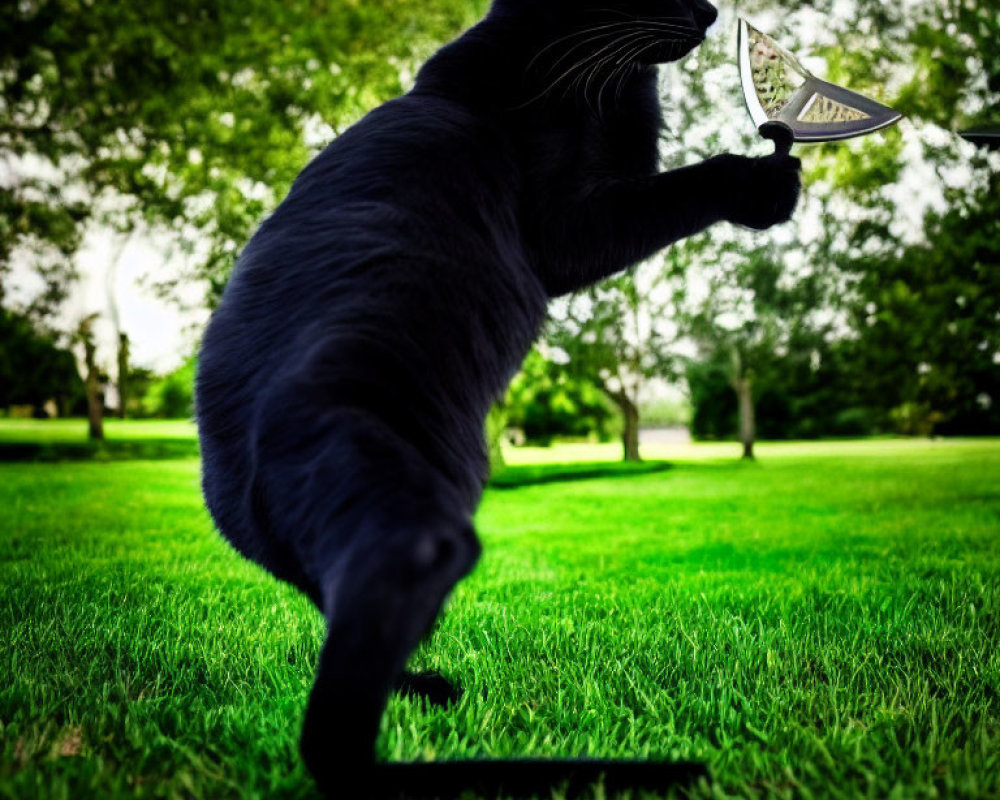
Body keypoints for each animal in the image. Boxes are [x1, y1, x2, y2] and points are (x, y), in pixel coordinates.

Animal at [197, 0, 796, 796]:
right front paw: (764, 182)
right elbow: (674, 186)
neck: (554, 69)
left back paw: (426, 691)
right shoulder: (570, 230)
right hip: (412, 524)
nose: (709, 11)